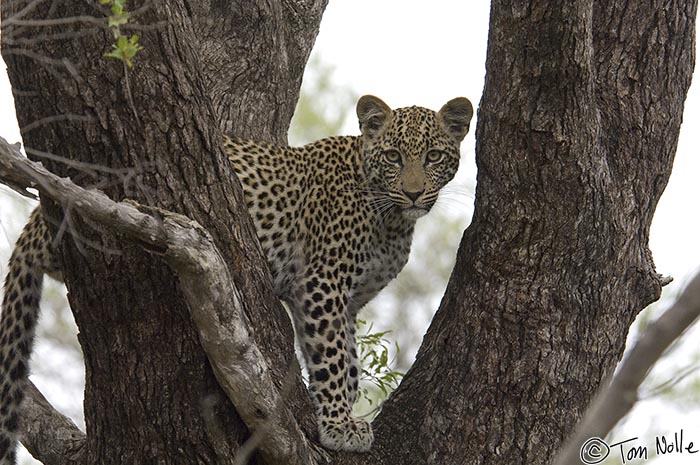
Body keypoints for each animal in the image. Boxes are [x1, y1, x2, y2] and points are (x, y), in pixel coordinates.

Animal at [0, 94, 474, 460]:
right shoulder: (322, 283)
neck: (393, 221)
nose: (413, 192)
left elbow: (351, 361)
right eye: (394, 157)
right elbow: (335, 356)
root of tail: (36, 218)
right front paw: (339, 425)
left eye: (433, 157)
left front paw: (343, 414)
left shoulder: (350, 300)